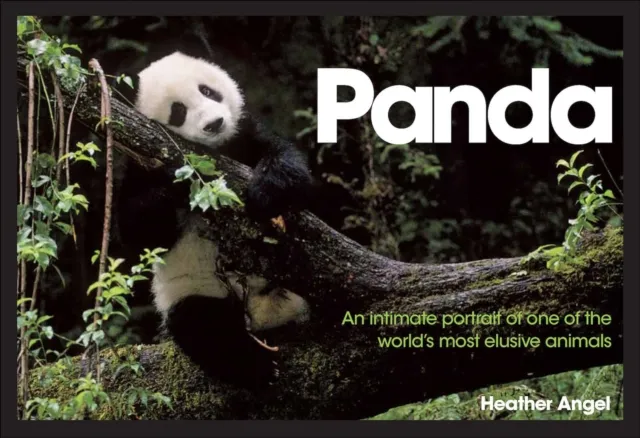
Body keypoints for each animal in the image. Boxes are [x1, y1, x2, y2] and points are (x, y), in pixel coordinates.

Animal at [115, 51, 313, 390]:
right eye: (178, 111)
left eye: (207, 91)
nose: (214, 124)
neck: (216, 150)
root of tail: (261, 312)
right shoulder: (139, 161)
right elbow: (141, 234)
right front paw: (178, 183)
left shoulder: (243, 133)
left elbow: (289, 164)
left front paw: (265, 193)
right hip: (197, 289)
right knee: (204, 326)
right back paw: (259, 367)